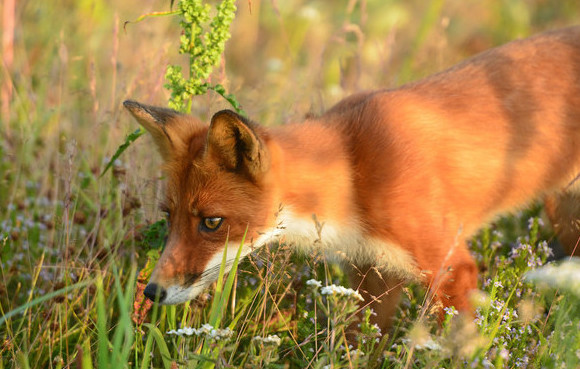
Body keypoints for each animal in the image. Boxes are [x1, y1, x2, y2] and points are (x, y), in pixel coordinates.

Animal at [125, 25, 580, 330]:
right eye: (168, 217)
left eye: (212, 222)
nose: (152, 292)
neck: (354, 173)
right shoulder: (374, 276)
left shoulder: (453, 268)